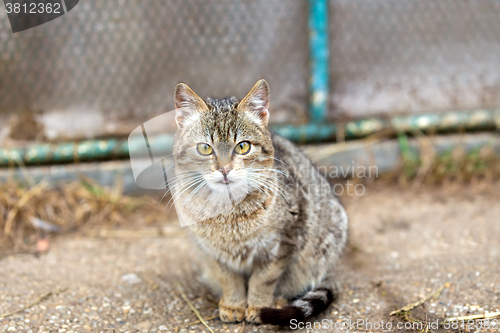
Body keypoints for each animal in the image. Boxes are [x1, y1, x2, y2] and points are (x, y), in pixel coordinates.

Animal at [169, 79, 348, 322]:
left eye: (243, 146)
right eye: (205, 148)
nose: (224, 169)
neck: (229, 212)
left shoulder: (284, 243)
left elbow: (264, 279)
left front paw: (259, 305)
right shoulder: (211, 251)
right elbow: (228, 279)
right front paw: (234, 304)